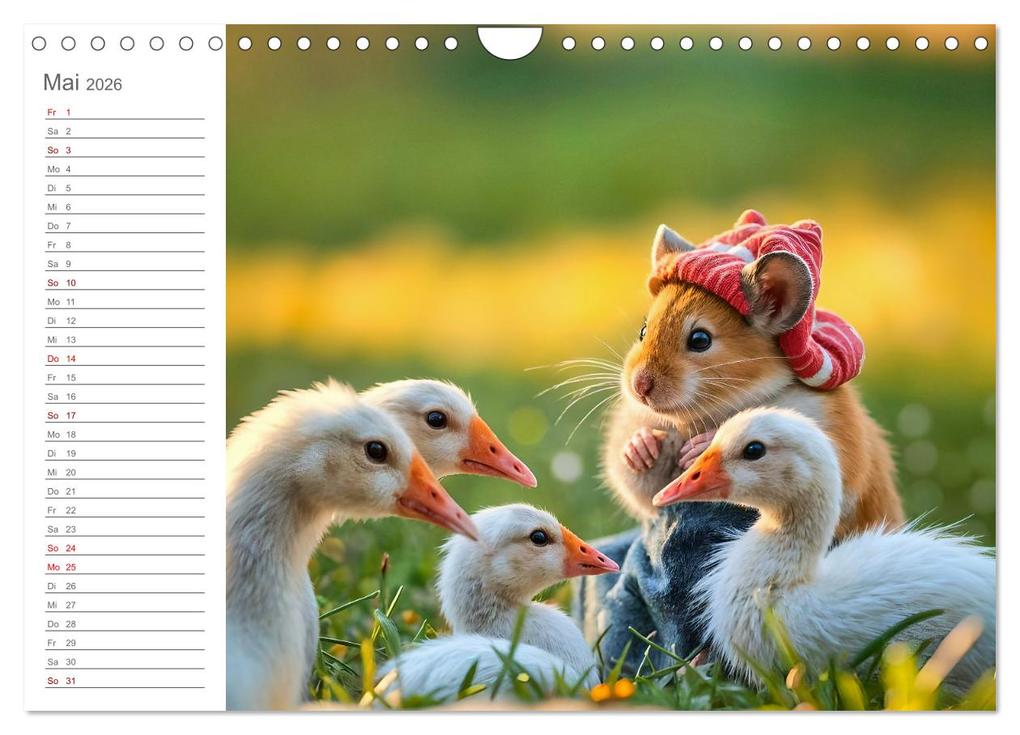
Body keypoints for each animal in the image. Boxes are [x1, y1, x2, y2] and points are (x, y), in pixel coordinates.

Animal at [601, 224, 903, 540]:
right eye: (643, 330)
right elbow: (646, 488)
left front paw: (699, 447)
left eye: (700, 340)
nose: (639, 387)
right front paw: (641, 447)